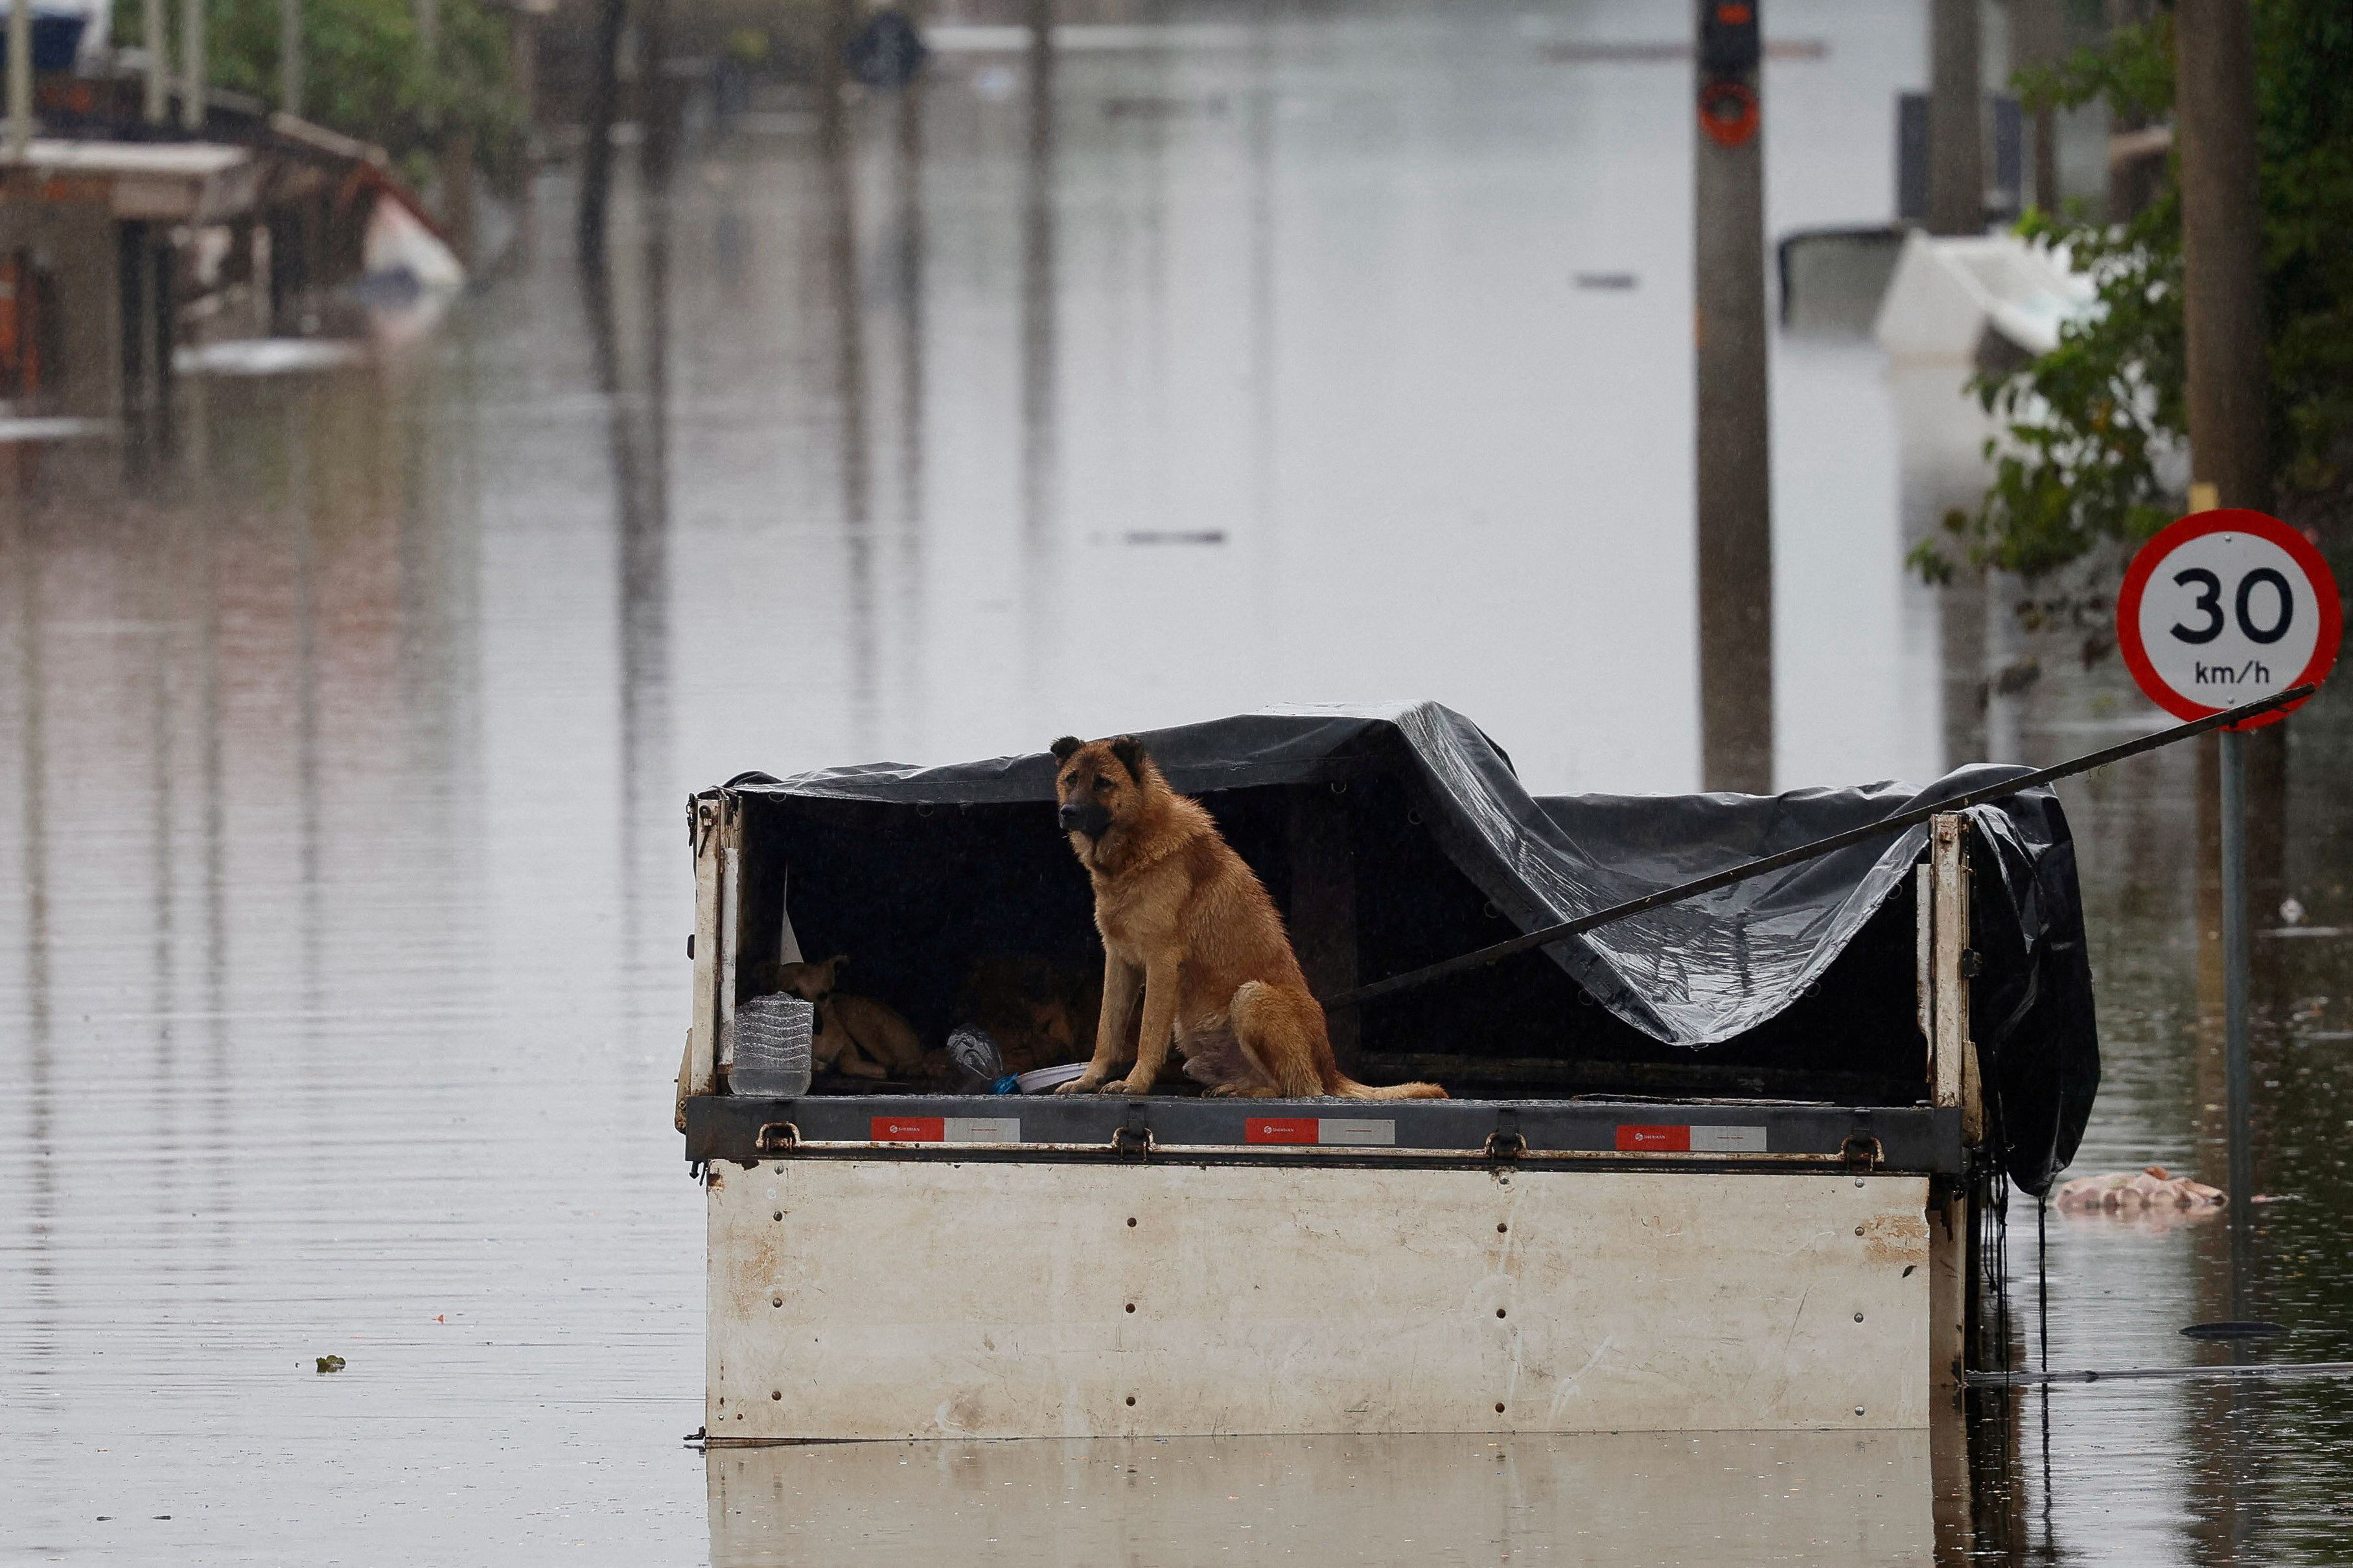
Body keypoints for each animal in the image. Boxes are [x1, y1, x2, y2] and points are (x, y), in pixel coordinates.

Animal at [1054, 734, 1449, 1097]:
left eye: (1103, 782)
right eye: (1071, 779)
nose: (1067, 812)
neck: (1134, 848)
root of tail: (1331, 1070)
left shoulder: (1162, 963)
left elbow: (1148, 1035)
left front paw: (1134, 1084)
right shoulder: (1119, 962)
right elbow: (1106, 1031)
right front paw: (1087, 1080)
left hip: (1251, 997)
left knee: (1295, 1089)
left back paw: (1246, 1091)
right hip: (1197, 1052)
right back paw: (1233, 1087)